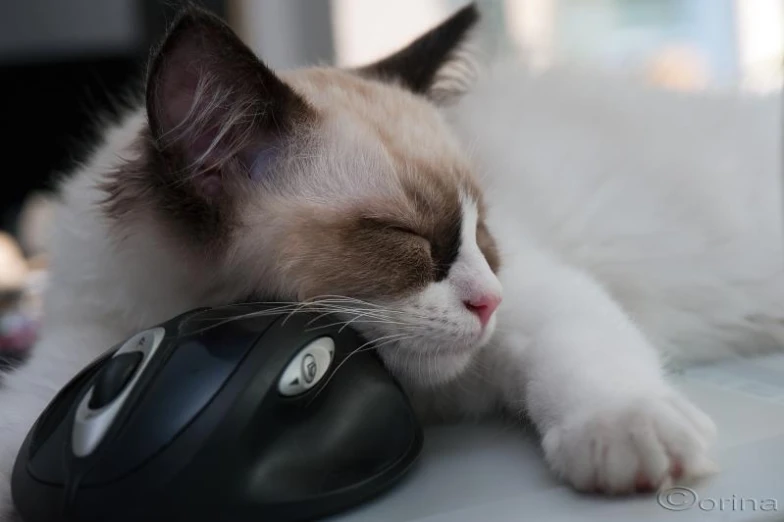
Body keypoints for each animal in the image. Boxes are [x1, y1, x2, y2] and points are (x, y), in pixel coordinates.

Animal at [1, 3, 784, 512]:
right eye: (408, 239)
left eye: (483, 234)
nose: (489, 300)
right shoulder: (69, 366)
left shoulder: (539, 301)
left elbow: (589, 362)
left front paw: (629, 434)